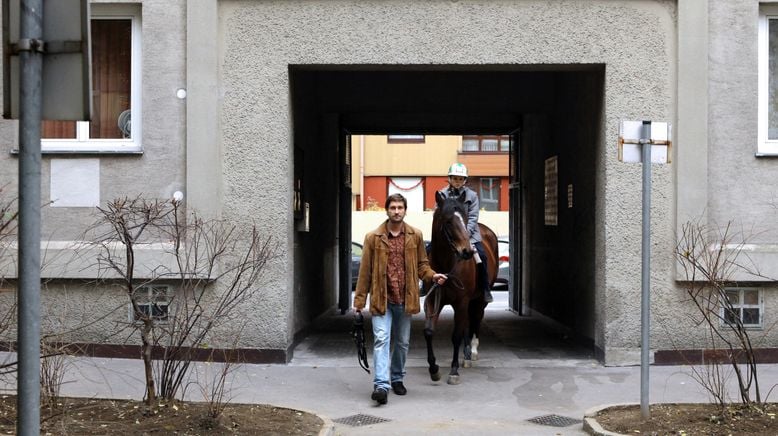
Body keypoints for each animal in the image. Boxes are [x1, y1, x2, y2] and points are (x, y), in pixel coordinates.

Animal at [424, 191, 498, 384]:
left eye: (464, 218)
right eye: (448, 220)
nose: (467, 252)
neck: (445, 265)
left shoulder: (461, 302)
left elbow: (456, 335)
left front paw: (454, 371)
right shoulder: (434, 299)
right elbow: (429, 331)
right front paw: (433, 368)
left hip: (478, 300)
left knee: (476, 320)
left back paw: (472, 351)